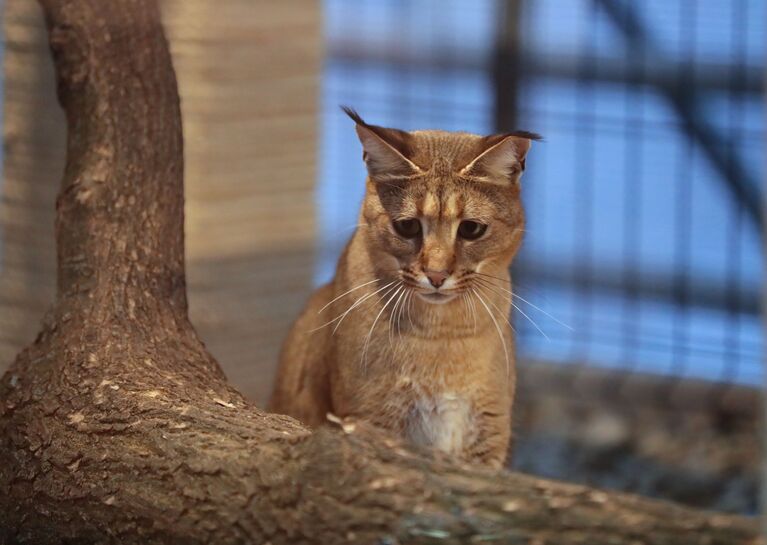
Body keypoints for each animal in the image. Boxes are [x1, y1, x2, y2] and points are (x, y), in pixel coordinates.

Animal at [270, 107, 540, 468]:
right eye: (408, 226)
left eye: (471, 229)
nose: (436, 275)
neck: (442, 334)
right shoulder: (370, 420)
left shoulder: (488, 437)